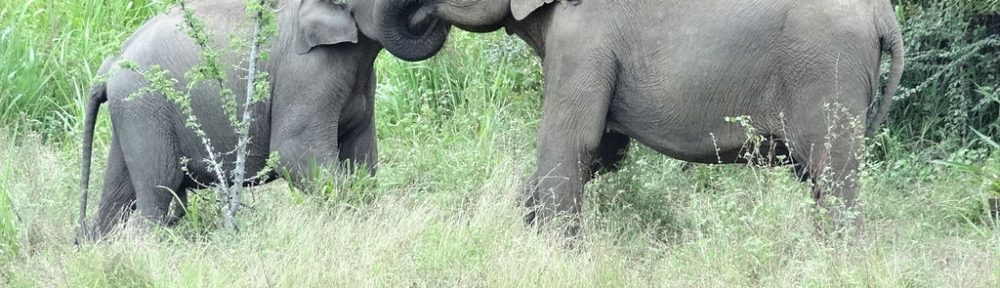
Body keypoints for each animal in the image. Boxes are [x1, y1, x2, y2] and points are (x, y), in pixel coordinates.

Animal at [78, 0, 450, 241]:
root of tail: (109, 66)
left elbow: (362, 159)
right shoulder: (307, 72)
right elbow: (294, 153)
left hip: (131, 116)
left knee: (118, 193)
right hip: (145, 109)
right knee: (158, 188)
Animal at [380, 0, 908, 234]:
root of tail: (885, 16)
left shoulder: (583, 37)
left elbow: (572, 141)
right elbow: (603, 149)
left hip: (826, 68)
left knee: (833, 173)